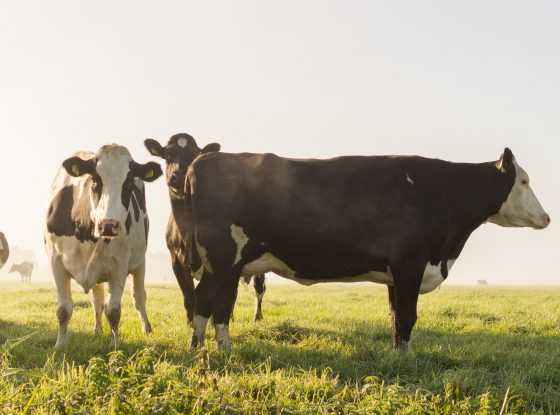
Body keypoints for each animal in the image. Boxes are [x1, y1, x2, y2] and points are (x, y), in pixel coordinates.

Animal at [44, 145, 162, 352]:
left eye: (128, 184)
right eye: (95, 181)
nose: (109, 225)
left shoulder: (119, 266)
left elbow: (113, 311)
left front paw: (115, 346)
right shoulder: (56, 261)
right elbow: (63, 309)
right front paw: (60, 346)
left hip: (140, 263)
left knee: (139, 297)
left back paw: (147, 328)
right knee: (97, 300)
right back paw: (97, 329)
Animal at [143, 133, 268, 324]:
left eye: (194, 155)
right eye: (168, 155)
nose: (179, 175)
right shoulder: (176, 261)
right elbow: (189, 296)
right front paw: (191, 323)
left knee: (258, 288)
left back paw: (257, 316)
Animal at [186, 146, 548, 352]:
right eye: (524, 181)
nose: (546, 217)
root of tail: (204, 159)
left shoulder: (395, 273)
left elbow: (395, 318)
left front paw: (399, 355)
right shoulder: (410, 264)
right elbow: (407, 316)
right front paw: (407, 360)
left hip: (223, 266)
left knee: (208, 303)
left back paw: (206, 349)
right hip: (224, 260)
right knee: (213, 303)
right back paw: (214, 350)